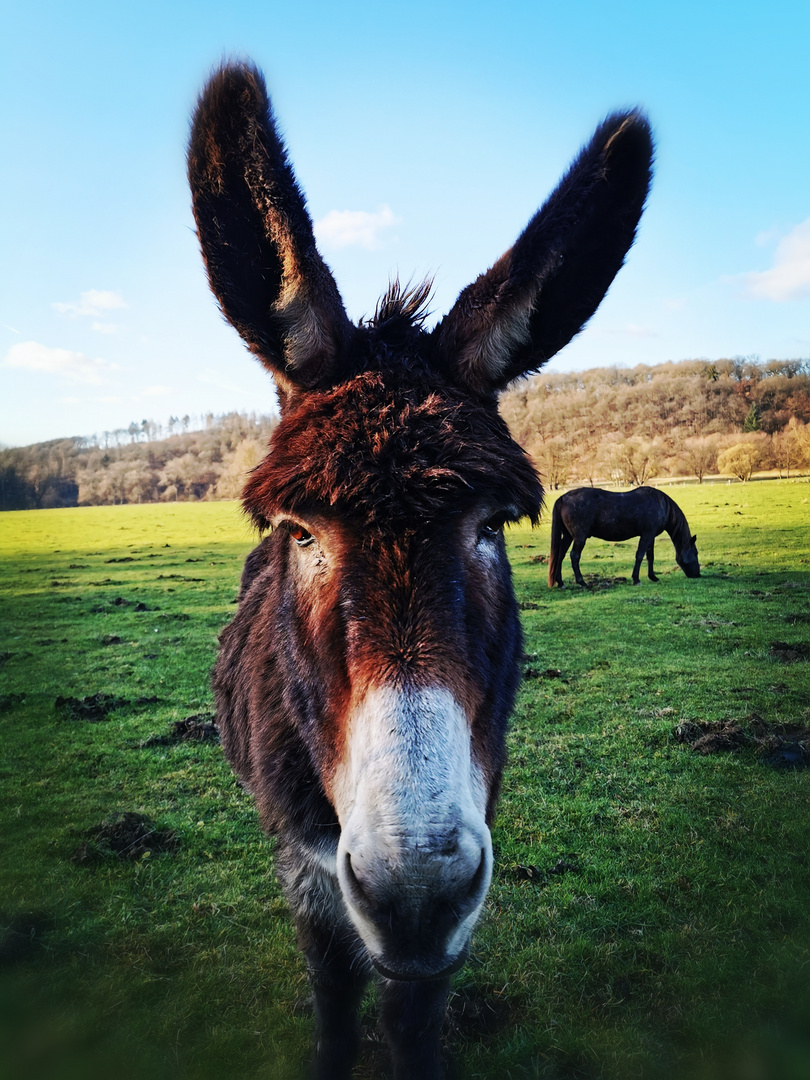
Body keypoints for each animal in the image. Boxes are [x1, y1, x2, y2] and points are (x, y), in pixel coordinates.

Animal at [188, 62, 652, 1079]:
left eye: (492, 526)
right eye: (299, 530)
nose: (416, 887)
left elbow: (417, 1013)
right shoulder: (310, 869)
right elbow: (332, 992)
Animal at [547, 486, 700, 588]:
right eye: (696, 553)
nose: (698, 574)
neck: (660, 504)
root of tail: (563, 498)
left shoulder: (650, 536)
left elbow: (650, 556)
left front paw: (653, 577)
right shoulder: (647, 534)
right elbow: (640, 555)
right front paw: (636, 579)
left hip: (568, 536)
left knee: (560, 555)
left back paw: (560, 582)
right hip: (580, 537)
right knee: (574, 556)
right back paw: (582, 583)